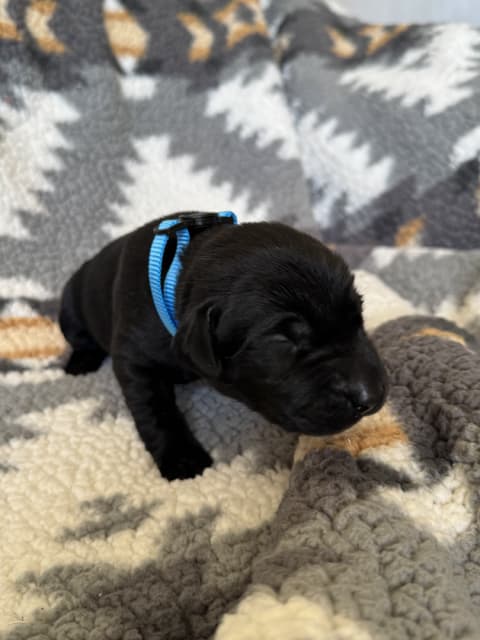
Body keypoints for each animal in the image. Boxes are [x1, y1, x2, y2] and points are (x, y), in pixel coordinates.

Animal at [59, 215, 387, 480]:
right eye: (282, 340)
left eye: (358, 317)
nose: (370, 397)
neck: (176, 276)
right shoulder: (135, 360)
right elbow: (155, 411)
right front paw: (182, 459)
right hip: (70, 306)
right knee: (79, 337)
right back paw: (80, 363)